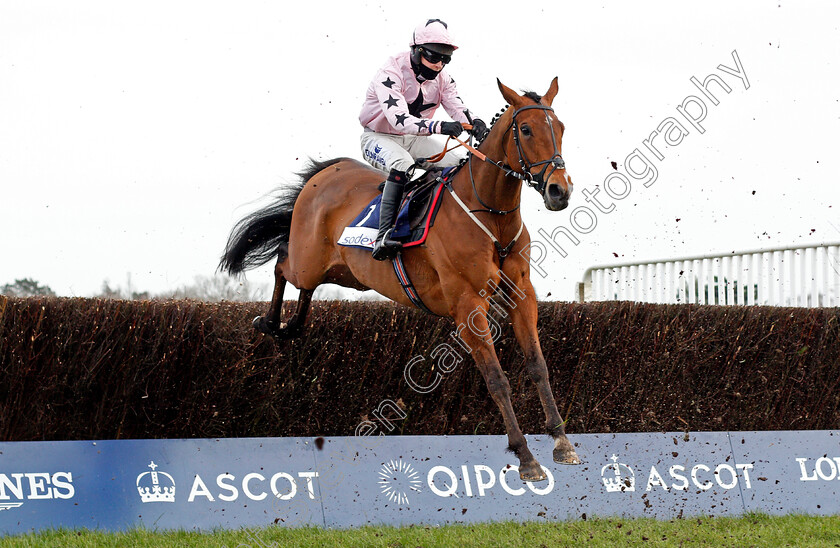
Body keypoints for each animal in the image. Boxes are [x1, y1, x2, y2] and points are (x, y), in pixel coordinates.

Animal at [220, 77, 580, 480]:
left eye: (560, 128)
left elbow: (538, 366)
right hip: (307, 259)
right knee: (283, 262)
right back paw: (271, 323)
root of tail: (326, 172)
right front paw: (525, 456)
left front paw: (562, 442)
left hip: (346, 273)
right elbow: (496, 379)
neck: (491, 215)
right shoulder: (468, 305)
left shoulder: (521, 294)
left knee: (305, 287)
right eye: (526, 129)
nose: (559, 190)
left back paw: (291, 325)